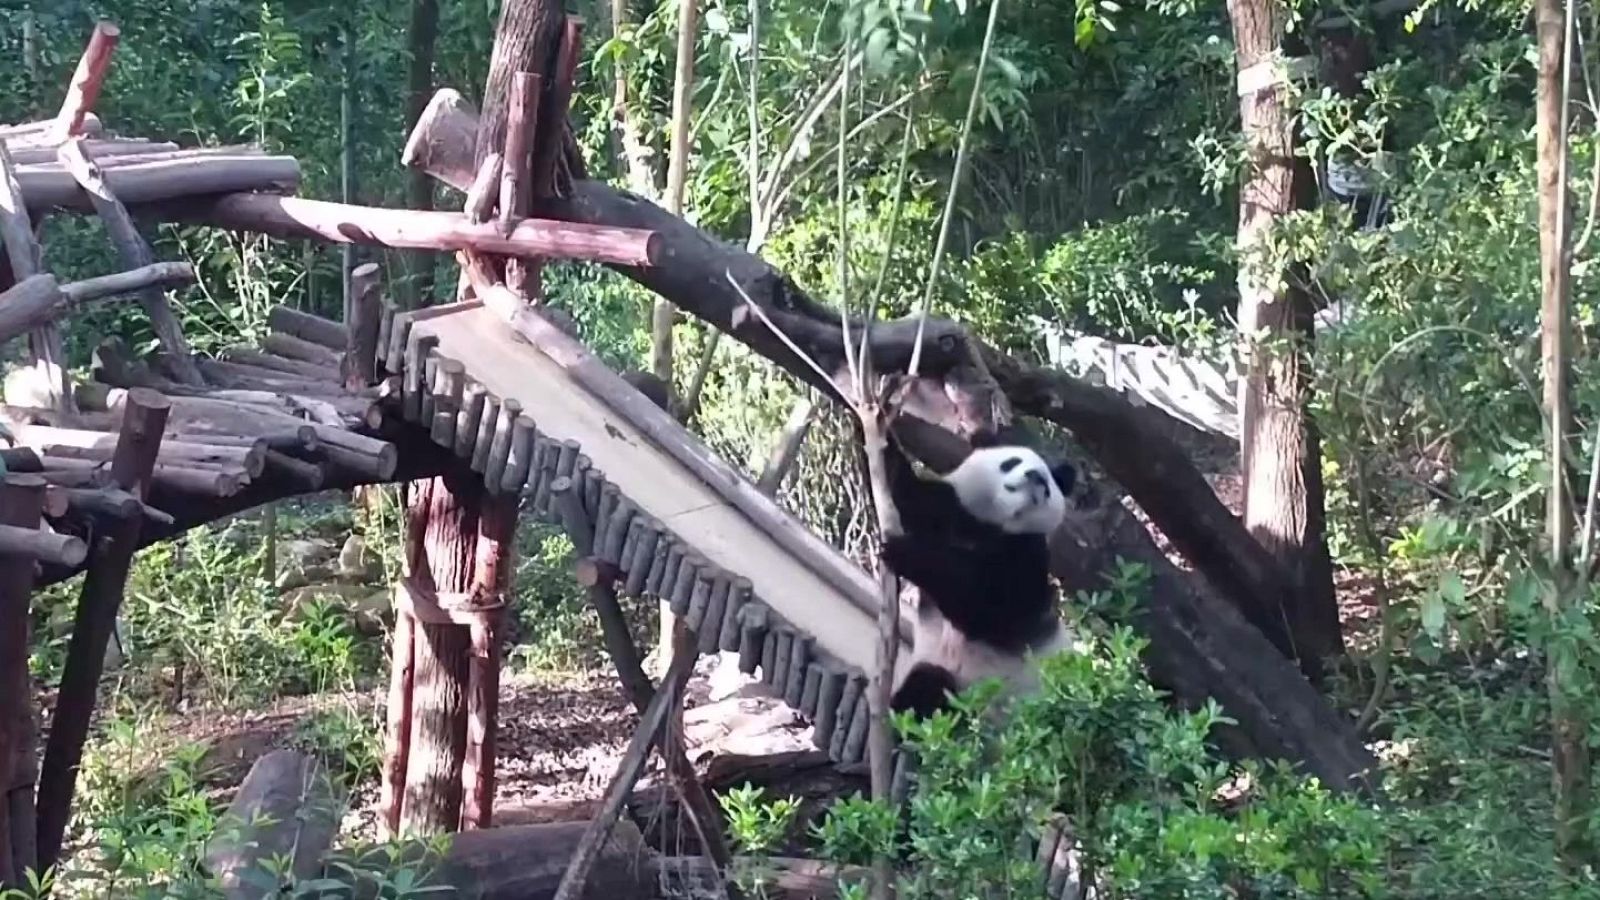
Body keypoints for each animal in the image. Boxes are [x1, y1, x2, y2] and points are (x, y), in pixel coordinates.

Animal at [880, 436, 1078, 718]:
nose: (1035, 477)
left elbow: (989, 609)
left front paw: (905, 552)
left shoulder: (1027, 556)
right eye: (1012, 462)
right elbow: (914, 498)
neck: (995, 524)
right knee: (925, 685)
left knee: (934, 689)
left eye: (1048, 482)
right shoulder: (955, 514)